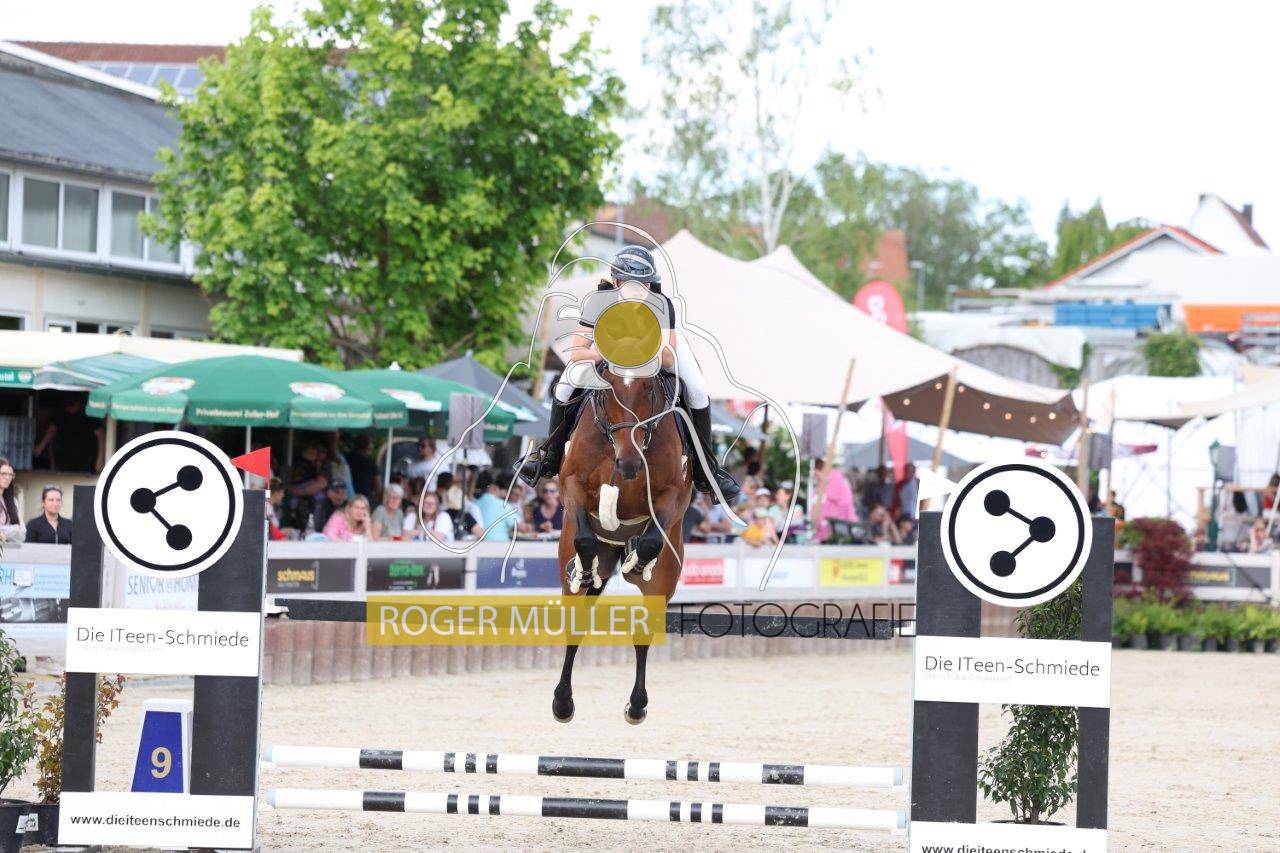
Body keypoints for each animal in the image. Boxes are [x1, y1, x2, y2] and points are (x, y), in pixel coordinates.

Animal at [552, 365, 692, 725]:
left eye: (649, 391)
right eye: (607, 389)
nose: (629, 464)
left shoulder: (672, 493)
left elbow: (652, 540)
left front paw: (638, 560)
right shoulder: (572, 484)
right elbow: (584, 540)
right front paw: (583, 570)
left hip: (664, 579)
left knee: (643, 632)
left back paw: (637, 705)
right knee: (576, 622)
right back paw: (562, 702)